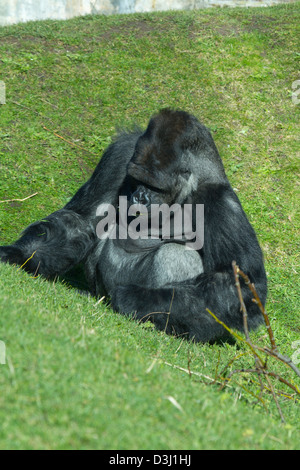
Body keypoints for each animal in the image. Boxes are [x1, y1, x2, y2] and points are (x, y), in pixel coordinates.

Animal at [0, 108, 268, 342]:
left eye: (155, 186)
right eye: (137, 179)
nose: (139, 197)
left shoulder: (221, 204)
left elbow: (240, 286)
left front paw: (134, 298)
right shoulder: (121, 154)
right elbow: (82, 220)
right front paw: (18, 254)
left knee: (175, 254)